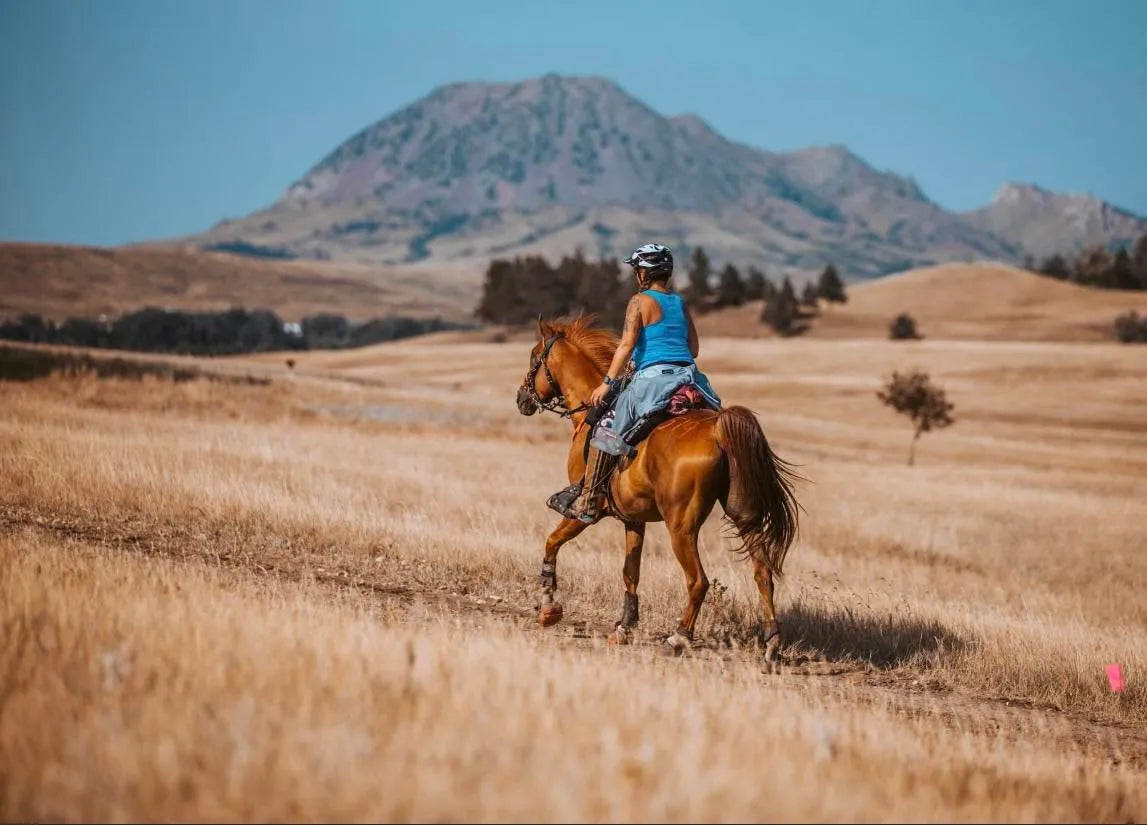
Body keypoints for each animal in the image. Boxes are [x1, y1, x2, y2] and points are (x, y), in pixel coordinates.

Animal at [516, 312, 802, 660]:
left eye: (534, 358)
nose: (521, 398)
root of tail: (718, 428)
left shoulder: (583, 514)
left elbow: (552, 543)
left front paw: (548, 607)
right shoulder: (633, 518)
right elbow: (630, 571)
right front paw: (623, 627)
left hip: (681, 526)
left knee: (698, 581)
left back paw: (678, 637)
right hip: (742, 514)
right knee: (762, 573)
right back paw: (772, 641)